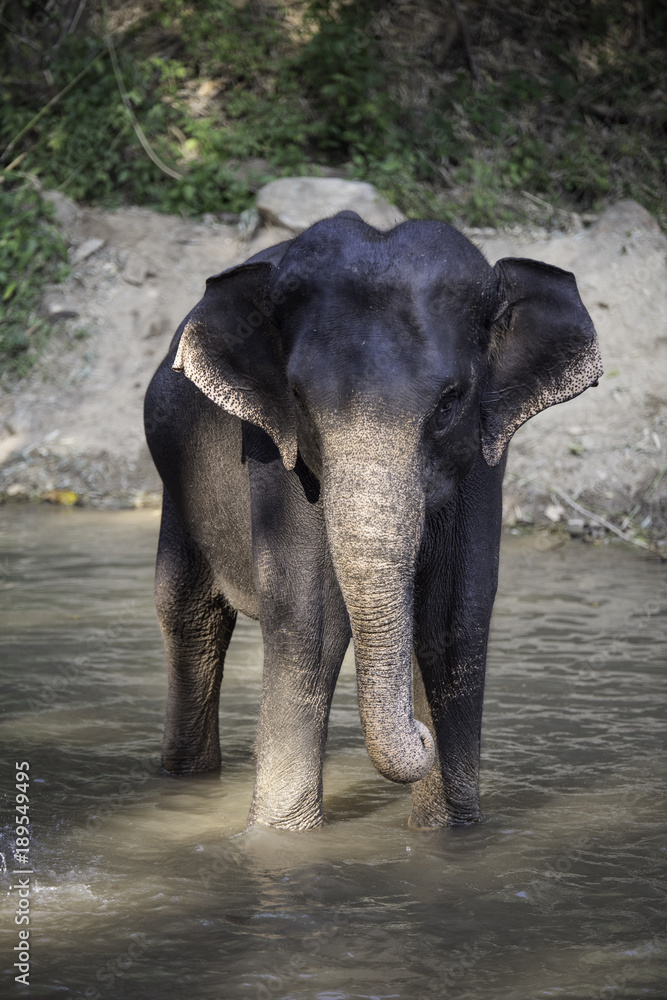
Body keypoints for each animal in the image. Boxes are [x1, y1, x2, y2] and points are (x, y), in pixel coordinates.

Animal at [144, 215, 604, 832]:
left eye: (449, 402)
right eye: (298, 397)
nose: (420, 731)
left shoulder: (484, 461)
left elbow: (454, 618)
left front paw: (449, 835)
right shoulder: (276, 451)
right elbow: (309, 622)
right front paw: (280, 839)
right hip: (177, 484)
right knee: (188, 614)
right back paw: (185, 777)